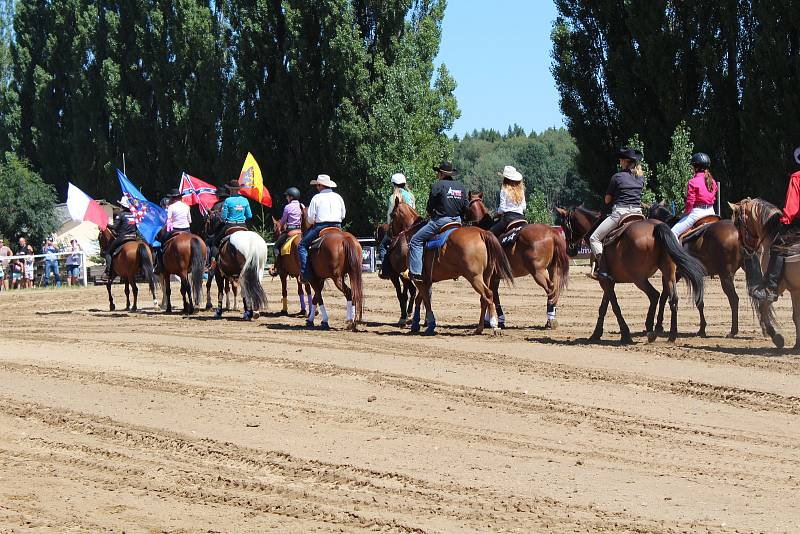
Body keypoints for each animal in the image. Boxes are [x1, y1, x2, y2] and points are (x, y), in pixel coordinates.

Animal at [390, 199, 516, 338]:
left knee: (488, 294)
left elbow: (426, 301)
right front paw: (416, 325)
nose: (391, 235)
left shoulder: (419, 280)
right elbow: (420, 299)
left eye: (392, 215)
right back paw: (479, 328)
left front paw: (429, 325)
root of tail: (482, 233)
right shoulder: (426, 281)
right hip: (486, 276)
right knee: (484, 298)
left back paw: (494, 325)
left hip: (474, 277)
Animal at [462, 193, 568, 330]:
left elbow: (491, 296)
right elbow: (494, 295)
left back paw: (551, 320)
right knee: (555, 289)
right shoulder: (495, 277)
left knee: (550, 288)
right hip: (553, 268)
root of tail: (552, 232)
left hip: (538, 271)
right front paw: (495, 320)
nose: (462, 219)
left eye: (466, 205)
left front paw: (494, 321)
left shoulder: (489, 276)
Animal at [552, 205, 704, 344]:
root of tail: (656, 227)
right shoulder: (608, 281)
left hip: (639, 278)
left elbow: (614, 306)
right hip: (669, 274)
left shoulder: (604, 281)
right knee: (673, 299)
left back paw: (651, 331)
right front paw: (596, 334)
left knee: (654, 295)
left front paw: (625, 335)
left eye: (564, 226)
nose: (570, 250)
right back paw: (671, 335)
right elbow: (603, 307)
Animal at [648, 203, 740, 338]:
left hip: (725, 276)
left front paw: (659, 326)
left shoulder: (671, 274)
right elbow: (699, 301)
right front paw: (702, 329)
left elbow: (664, 296)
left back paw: (733, 331)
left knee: (734, 299)